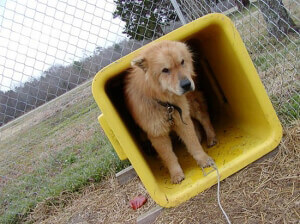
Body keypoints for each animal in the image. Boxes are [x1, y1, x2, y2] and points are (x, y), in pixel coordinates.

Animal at [125, 40, 218, 184]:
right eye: (165, 70)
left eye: (182, 62)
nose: (186, 84)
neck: (165, 104)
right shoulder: (157, 134)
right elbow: (169, 156)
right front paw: (176, 174)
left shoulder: (182, 121)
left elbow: (194, 145)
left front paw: (204, 160)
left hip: (192, 105)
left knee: (204, 118)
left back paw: (211, 137)